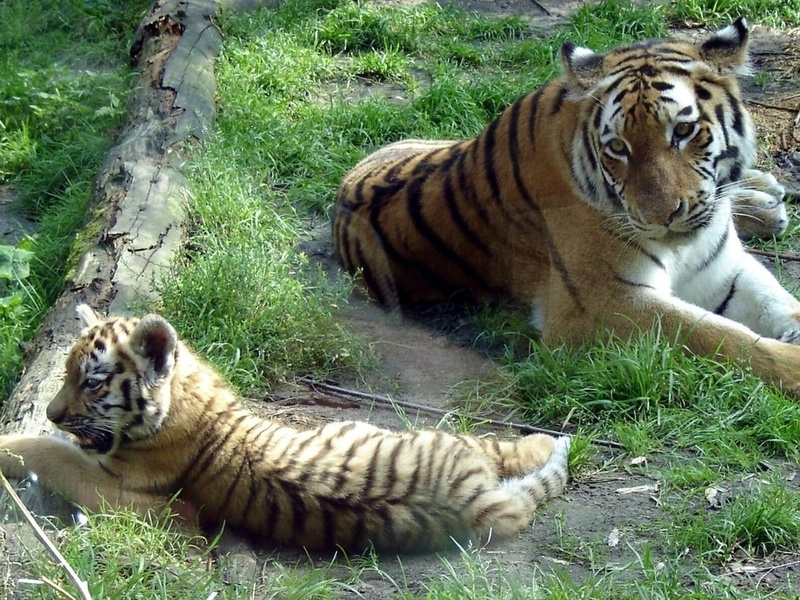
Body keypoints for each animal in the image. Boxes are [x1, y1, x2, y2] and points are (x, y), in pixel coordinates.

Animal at [332, 17, 800, 394]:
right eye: (618, 147)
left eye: (684, 131)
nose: (661, 217)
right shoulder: (602, 303)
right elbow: (721, 338)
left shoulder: (723, 270)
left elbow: (776, 301)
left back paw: (763, 196)